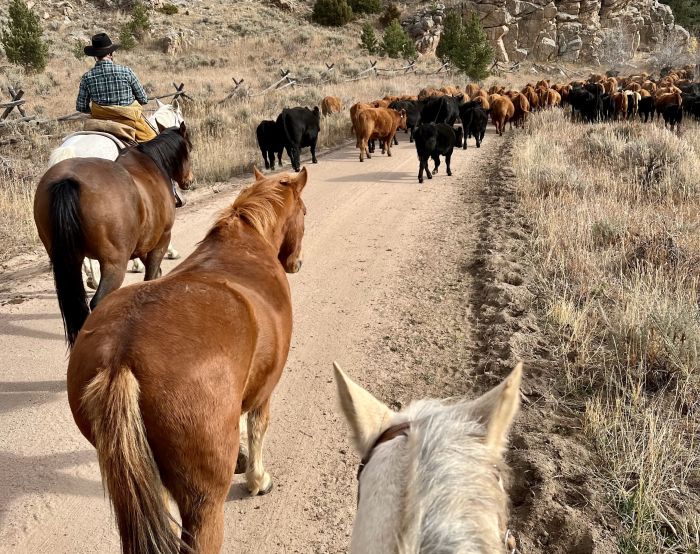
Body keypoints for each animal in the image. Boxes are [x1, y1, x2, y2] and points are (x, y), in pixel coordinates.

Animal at [32, 124, 191, 344]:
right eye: (190, 148)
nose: (189, 181)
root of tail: (68, 180)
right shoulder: (160, 241)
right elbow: (151, 278)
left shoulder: (144, 245)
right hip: (114, 265)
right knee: (98, 301)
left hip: (67, 261)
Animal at [67, 166, 308, 548]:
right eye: (305, 213)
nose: (296, 262)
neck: (244, 246)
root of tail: (121, 356)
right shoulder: (263, 391)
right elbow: (258, 428)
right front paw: (257, 479)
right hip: (203, 506)